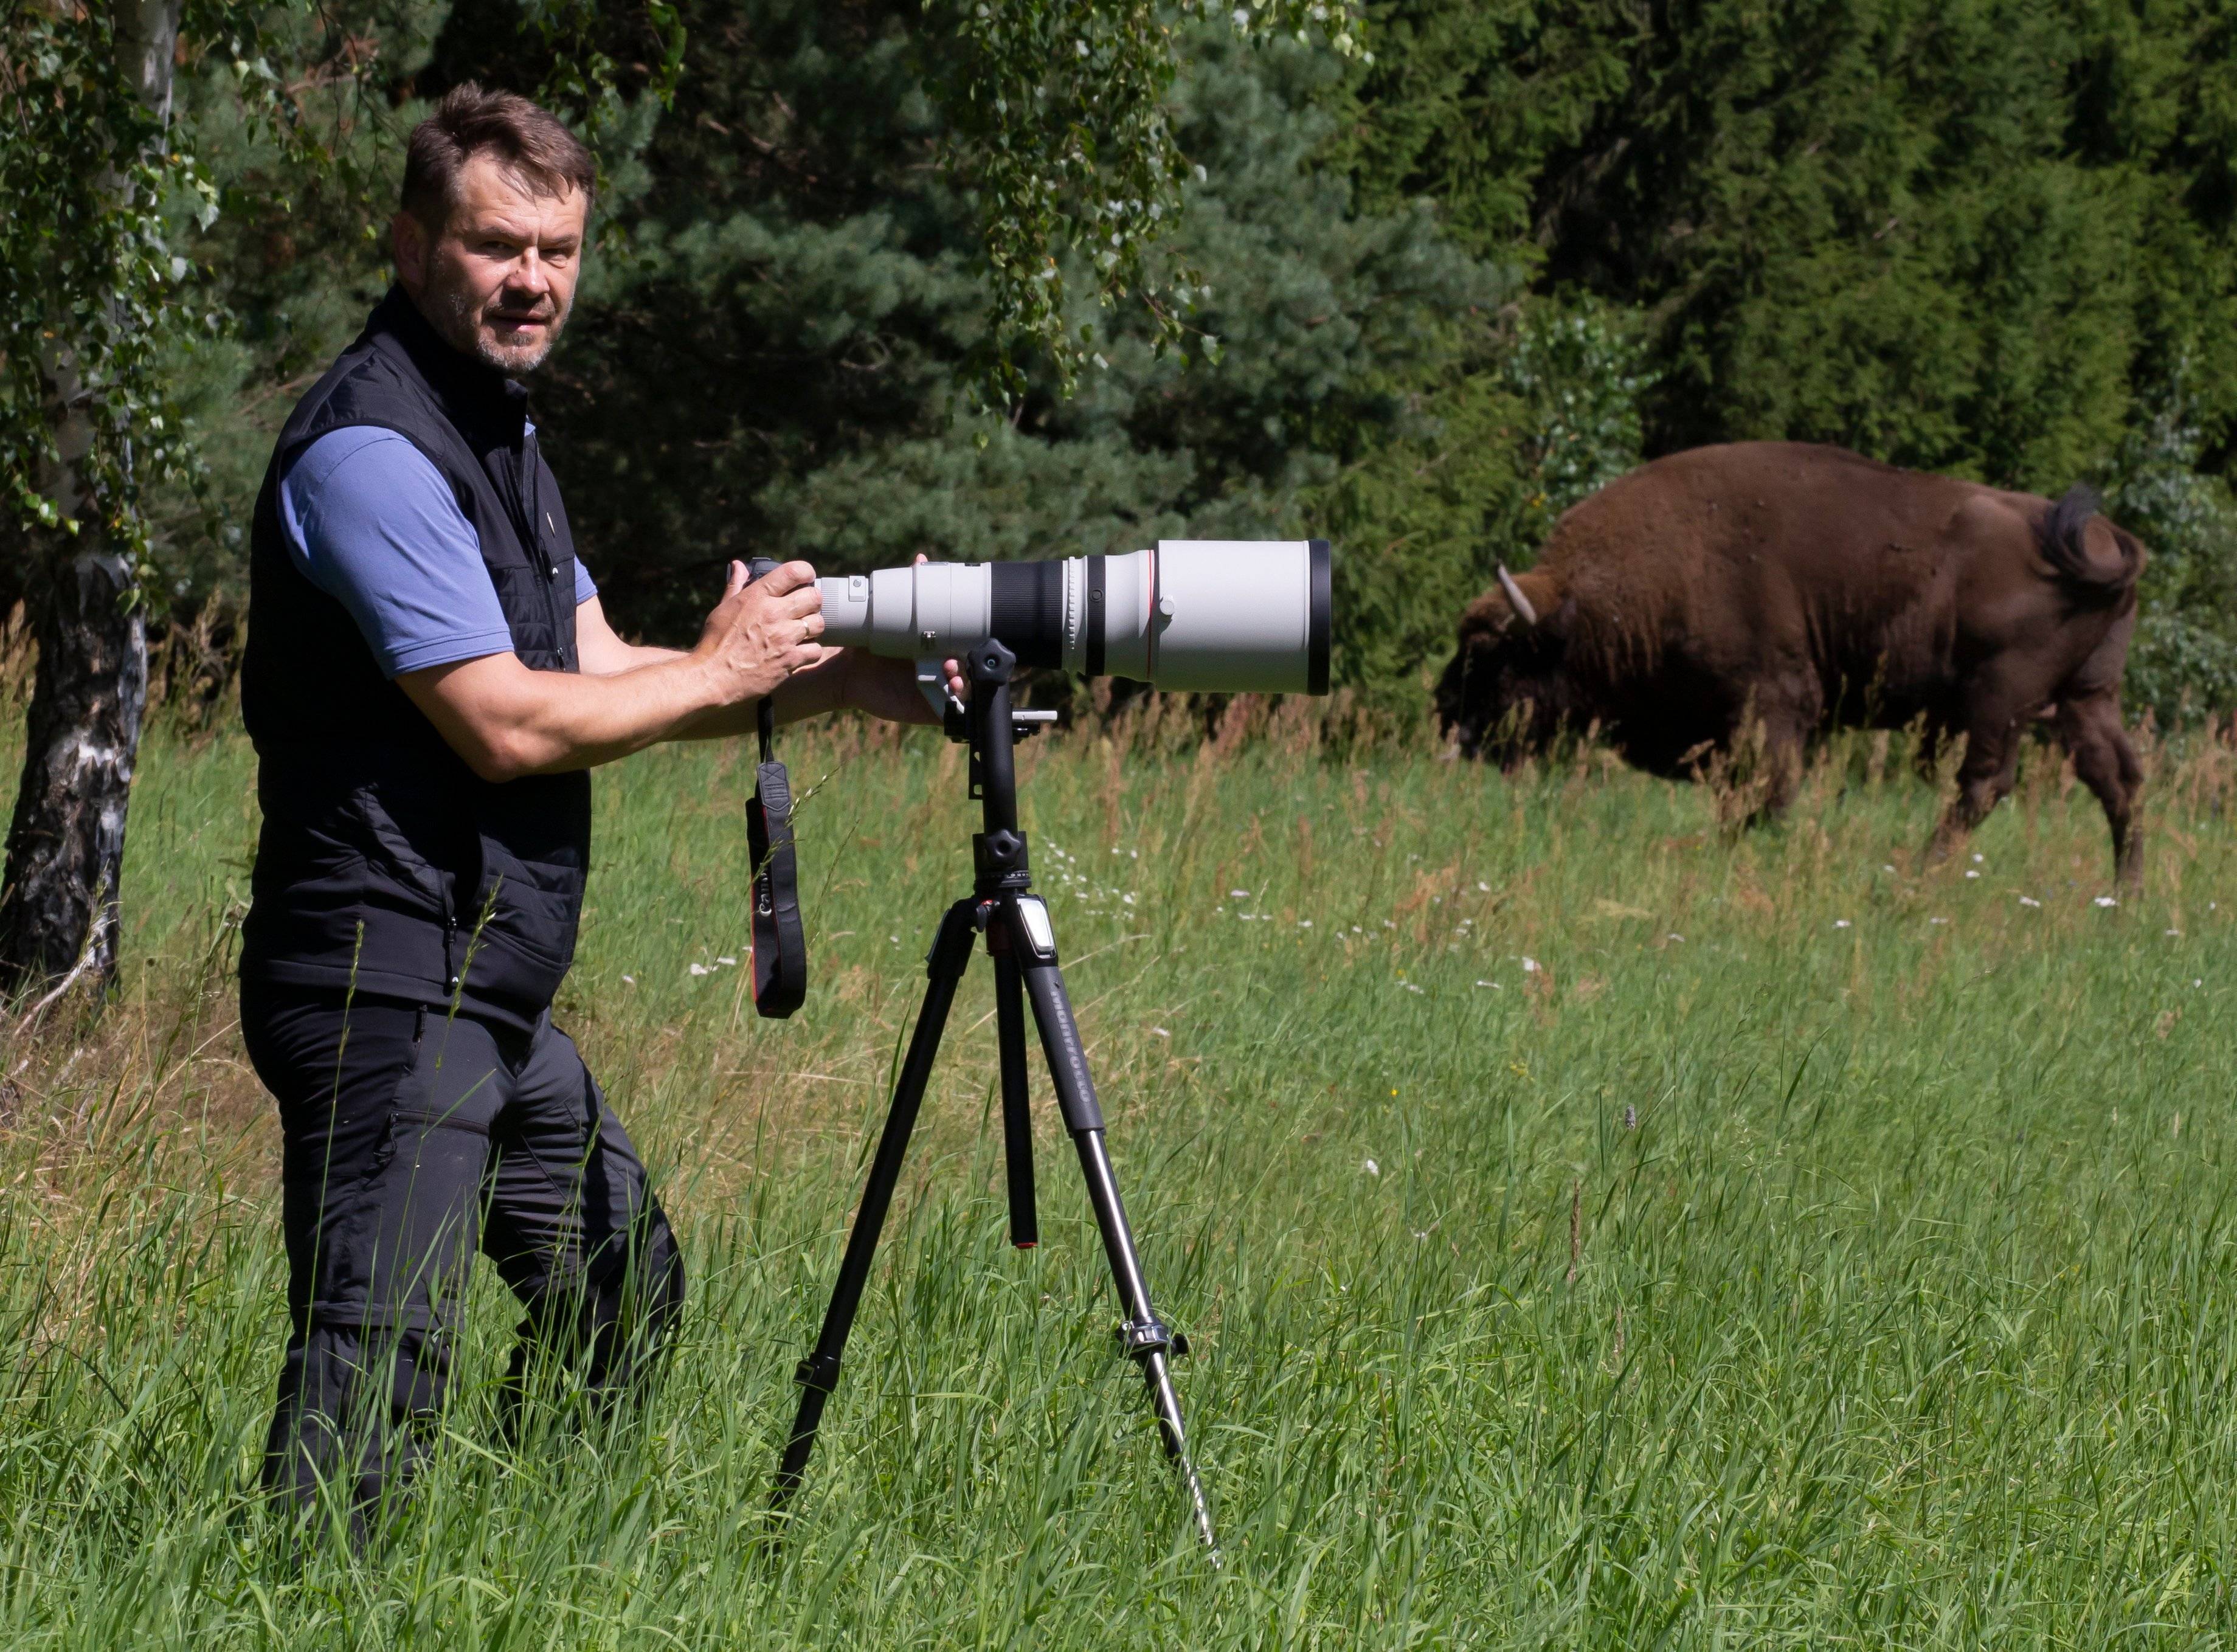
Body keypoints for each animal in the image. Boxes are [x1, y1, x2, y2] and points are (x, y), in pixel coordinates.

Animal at [1431, 440, 2147, 880]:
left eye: (1491, 655)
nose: (1443, 709)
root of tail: (2107, 538)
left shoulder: (1772, 704)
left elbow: (1767, 792)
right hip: (2085, 696)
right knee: (2119, 781)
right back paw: (2125, 900)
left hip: (2001, 698)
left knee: (1984, 783)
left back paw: (1913, 875)